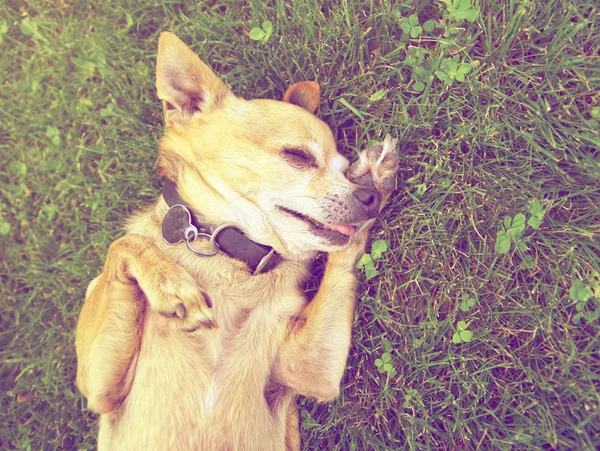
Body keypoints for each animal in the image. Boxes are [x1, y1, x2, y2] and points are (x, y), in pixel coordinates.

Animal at [76, 32, 398, 451]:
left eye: (345, 171)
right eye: (297, 155)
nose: (369, 197)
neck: (230, 256)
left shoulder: (309, 371)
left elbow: (342, 260)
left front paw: (375, 177)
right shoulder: (98, 387)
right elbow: (125, 244)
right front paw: (171, 285)